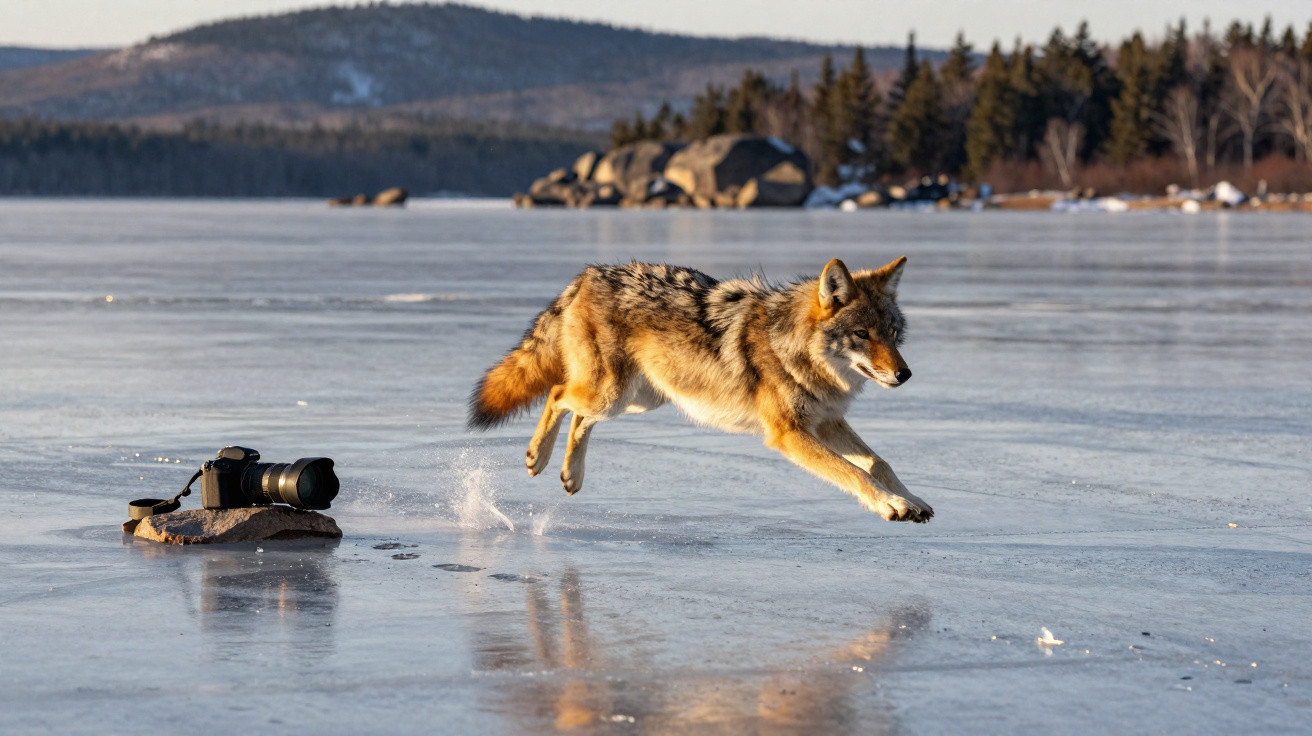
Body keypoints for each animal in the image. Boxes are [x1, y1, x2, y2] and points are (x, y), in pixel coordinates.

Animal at [467, 257, 932, 522]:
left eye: (893, 334)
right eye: (861, 334)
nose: (905, 374)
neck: (792, 347)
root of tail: (588, 274)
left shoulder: (828, 421)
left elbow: (880, 463)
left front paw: (911, 499)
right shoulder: (790, 433)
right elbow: (854, 472)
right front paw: (891, 505)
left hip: (638, 399)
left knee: (579, 416)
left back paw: (570, 474)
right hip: (612, 393)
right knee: (558, 393)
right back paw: (537, 458)